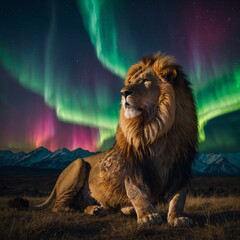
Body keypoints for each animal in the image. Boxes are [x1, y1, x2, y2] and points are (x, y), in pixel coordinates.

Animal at [14, 53, 197, 227]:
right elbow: (137, 192)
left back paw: (102, 209)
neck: (155, 130)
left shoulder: (181, 167)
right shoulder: (132, 166)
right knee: (58, 206)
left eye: (145, 80)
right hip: (79, 163)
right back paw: (74, 209)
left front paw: (177, 218)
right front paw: (148, 215)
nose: (123, 92)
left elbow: (178, 198)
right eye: (130, 82)